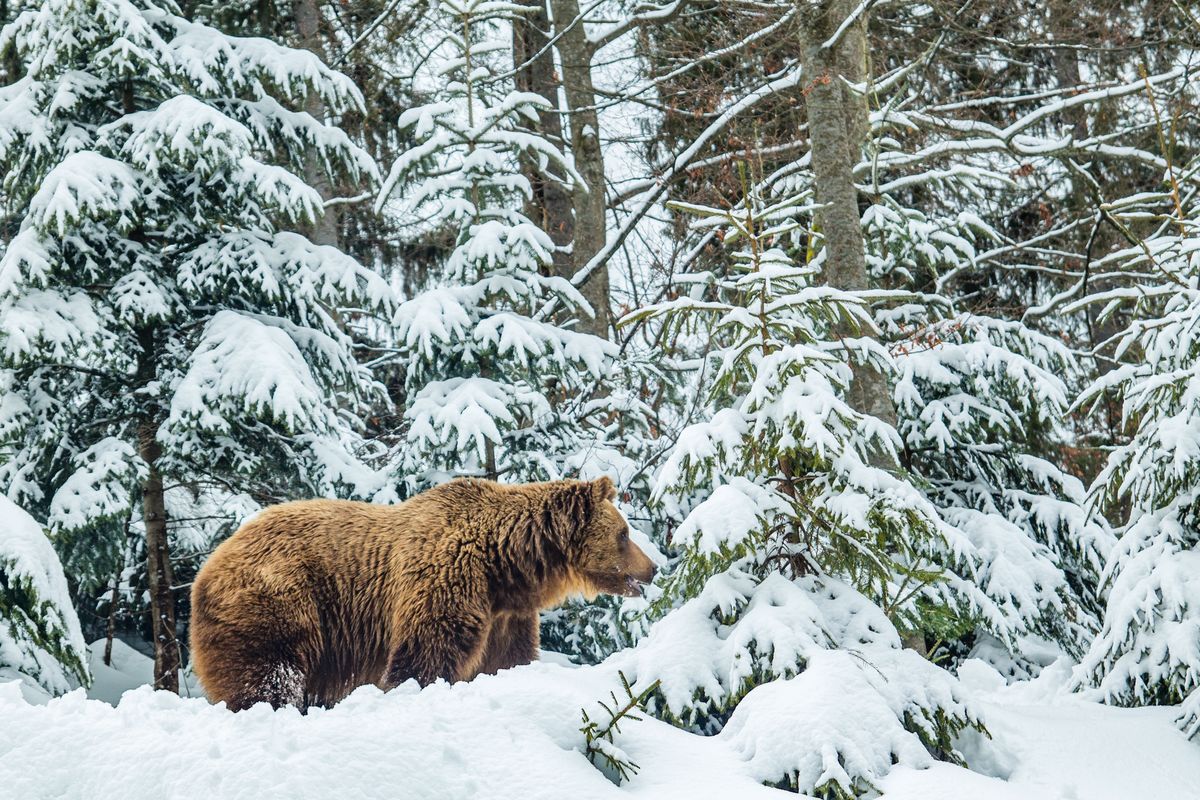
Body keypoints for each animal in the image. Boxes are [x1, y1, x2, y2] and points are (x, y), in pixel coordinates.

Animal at [188, 472, 657, 710]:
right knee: (271, 672)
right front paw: (412, 691)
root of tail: (208, 565)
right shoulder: (447, 578)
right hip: (278, 598)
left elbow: (506, 658)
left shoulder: (505, 614)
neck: (505, 565)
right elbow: (426, 652)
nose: (653, 568)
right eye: (624, 533)